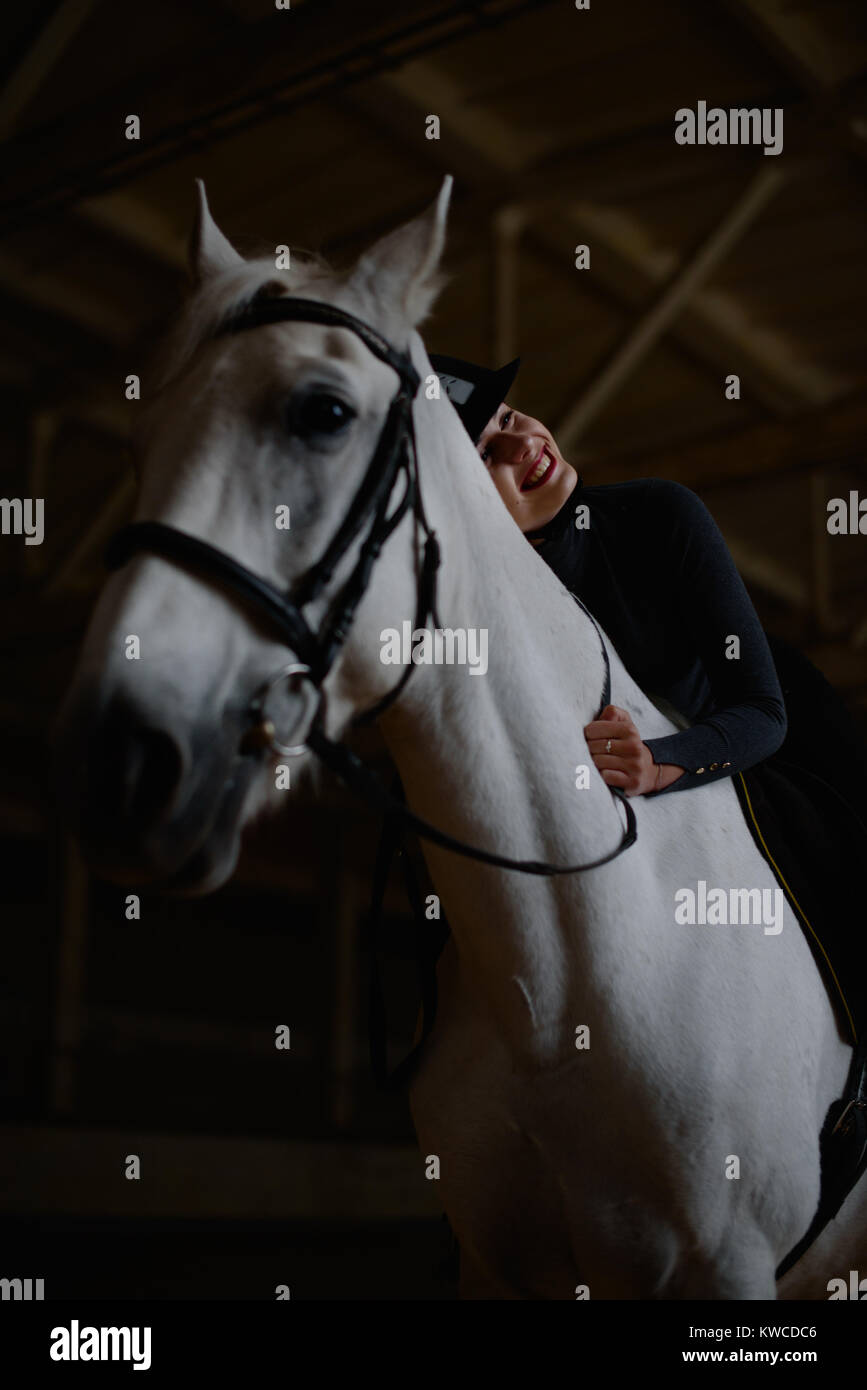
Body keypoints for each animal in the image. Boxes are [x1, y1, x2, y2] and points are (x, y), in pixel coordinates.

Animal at [54, 179, 861, 1295]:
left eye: (323, 413)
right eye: (143, 445)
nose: (120, 766)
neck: (563, 983)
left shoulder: (726, 1270)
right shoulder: (496, 1264)